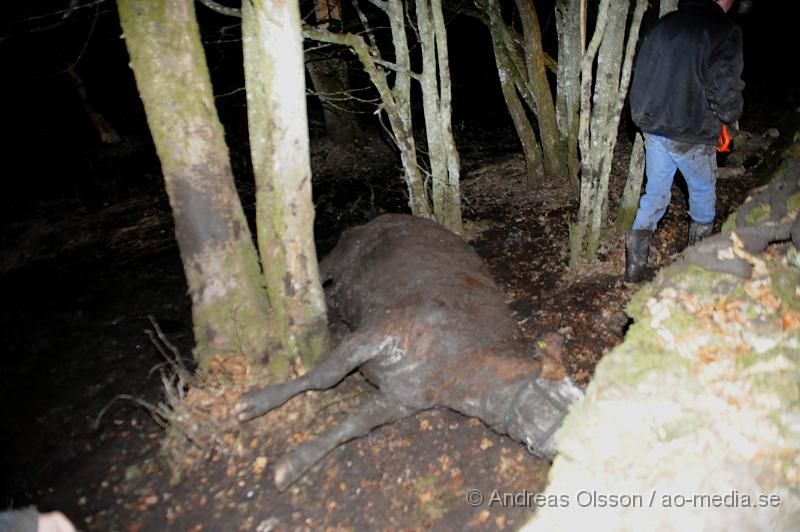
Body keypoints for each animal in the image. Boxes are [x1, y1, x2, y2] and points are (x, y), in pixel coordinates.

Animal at [234, 214, 584, 488]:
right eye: (574, 397)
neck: (463, 367)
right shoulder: (382, 328)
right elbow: (325, 376)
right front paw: (257, 402)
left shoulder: (403, 400)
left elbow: (354, 426)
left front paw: (297, 461)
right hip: (340, 255)